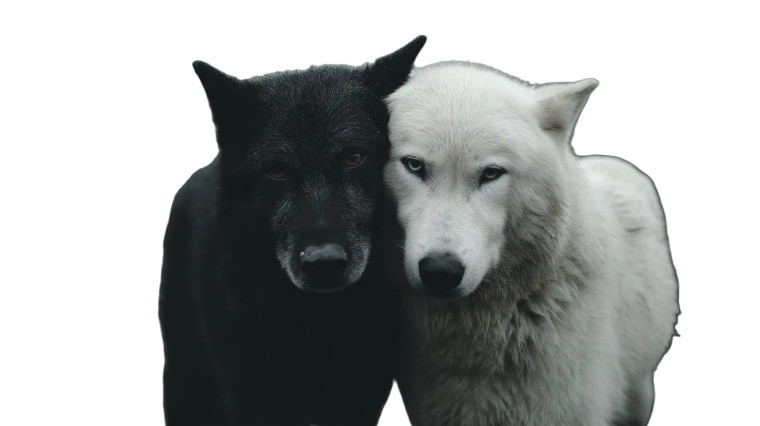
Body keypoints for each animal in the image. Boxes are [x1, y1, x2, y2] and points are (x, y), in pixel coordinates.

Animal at [159, 36, 426, 426]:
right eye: (277, 171)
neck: (312, 319)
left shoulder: (358, 398)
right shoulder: (247, 396)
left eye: (354, 158)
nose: (324, 263)